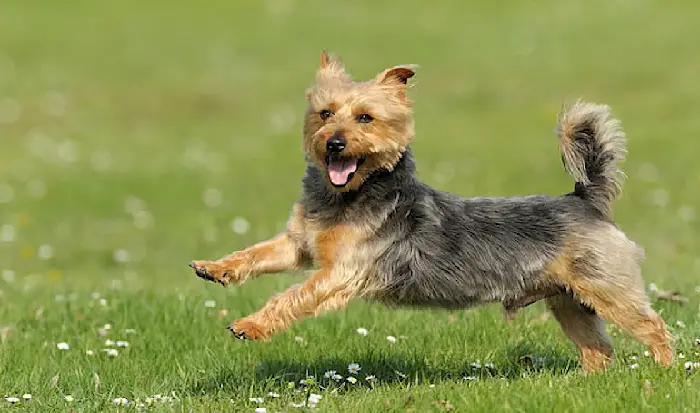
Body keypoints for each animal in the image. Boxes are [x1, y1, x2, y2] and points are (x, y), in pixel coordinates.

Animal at [190, 52, 672, 374]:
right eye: (324, 113)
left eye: (365, 118)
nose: (334, 143)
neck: (346, 196)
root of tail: (583, 199)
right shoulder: (300, 245)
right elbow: (256, 253)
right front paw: (215, 267)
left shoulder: (341, 271)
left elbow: (291, 296)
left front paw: (251, 325)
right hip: (569, 299)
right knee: (598, 348)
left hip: (608, 287)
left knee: (654, 328)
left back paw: (665, 374)